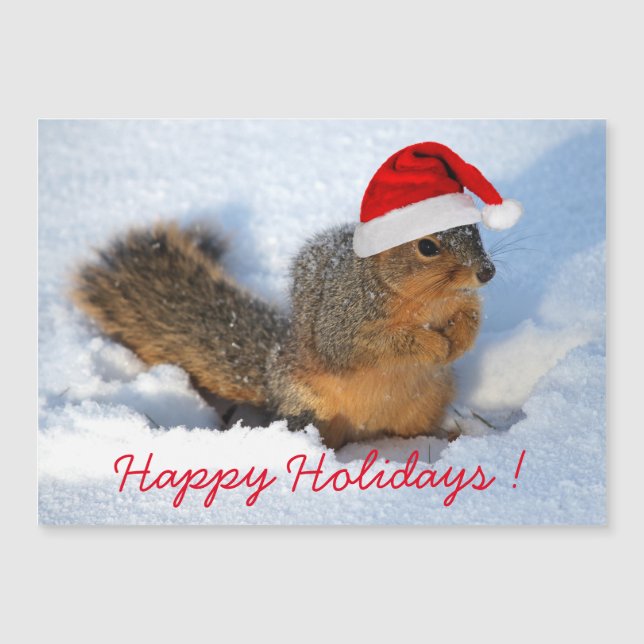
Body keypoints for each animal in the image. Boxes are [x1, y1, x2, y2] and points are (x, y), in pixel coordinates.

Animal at [71, 142, 522, 449]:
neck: (428, 300)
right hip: (309, 405)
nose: (486, 271)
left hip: (427, 402)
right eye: (427, 246)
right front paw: (432, 345)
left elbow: (471, 317)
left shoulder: (462, 301)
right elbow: (378, 344)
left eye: (475, 230)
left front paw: (457, 341)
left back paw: (449, 437)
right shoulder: (345, 322)